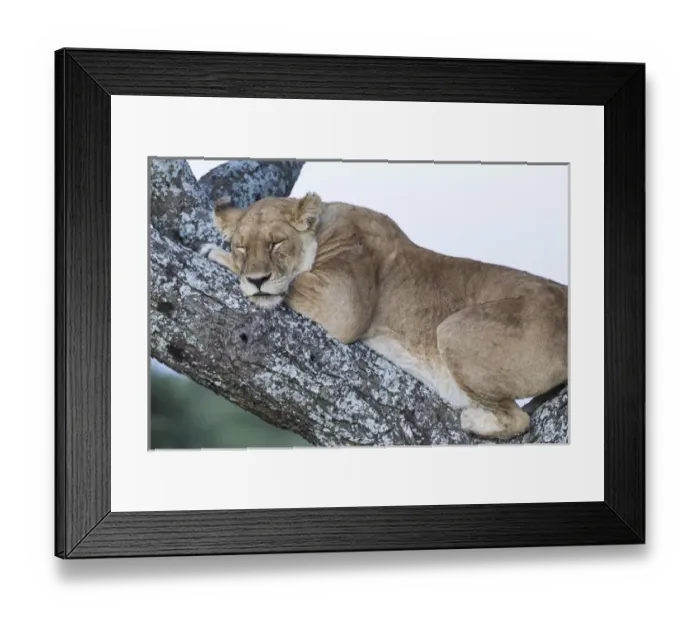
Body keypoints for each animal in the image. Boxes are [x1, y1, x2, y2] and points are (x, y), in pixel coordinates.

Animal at [200, 191, 568, 440]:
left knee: (518, 419)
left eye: (276, 243)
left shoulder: (342, 302)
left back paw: (474, 420)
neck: (324, 228)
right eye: (242, 246)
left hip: (452, 328)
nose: (257, 279)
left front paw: (216, 255)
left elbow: (292, 281)